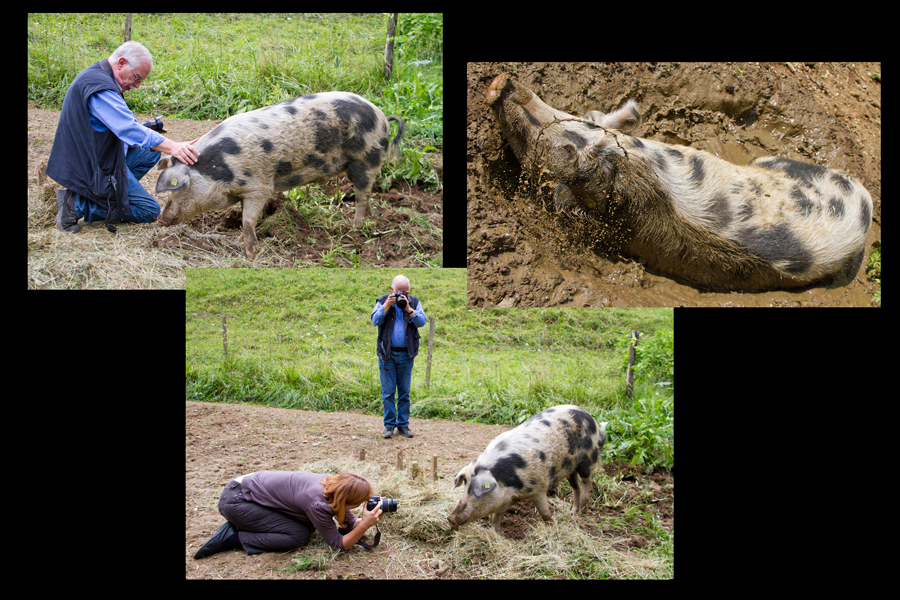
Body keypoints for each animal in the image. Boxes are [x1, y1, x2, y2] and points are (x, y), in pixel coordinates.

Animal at [156, 91, 404, 258]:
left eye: (179, 189)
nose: (161, 219)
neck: (221, 169)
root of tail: (382, 116)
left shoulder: (259, 186)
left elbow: (248, 219)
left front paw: (250, 254)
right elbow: (246, 218)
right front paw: (239, 240)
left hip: (365, 159)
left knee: (361, 195)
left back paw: (356, 228)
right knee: (367, 194)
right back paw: (368, 222)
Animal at [448, 406, 608, 532]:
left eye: (475, 490)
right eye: (465, 485)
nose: (451, 519)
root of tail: (592, 419)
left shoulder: (539, 487)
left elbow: (544, 512)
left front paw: (552, 525)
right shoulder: (506, 498)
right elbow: (496, 517)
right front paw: (497, 534)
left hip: (588, 459)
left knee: (586, 482)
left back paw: (582, 509)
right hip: (570, 467)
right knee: (576, 487)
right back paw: (573, 513)